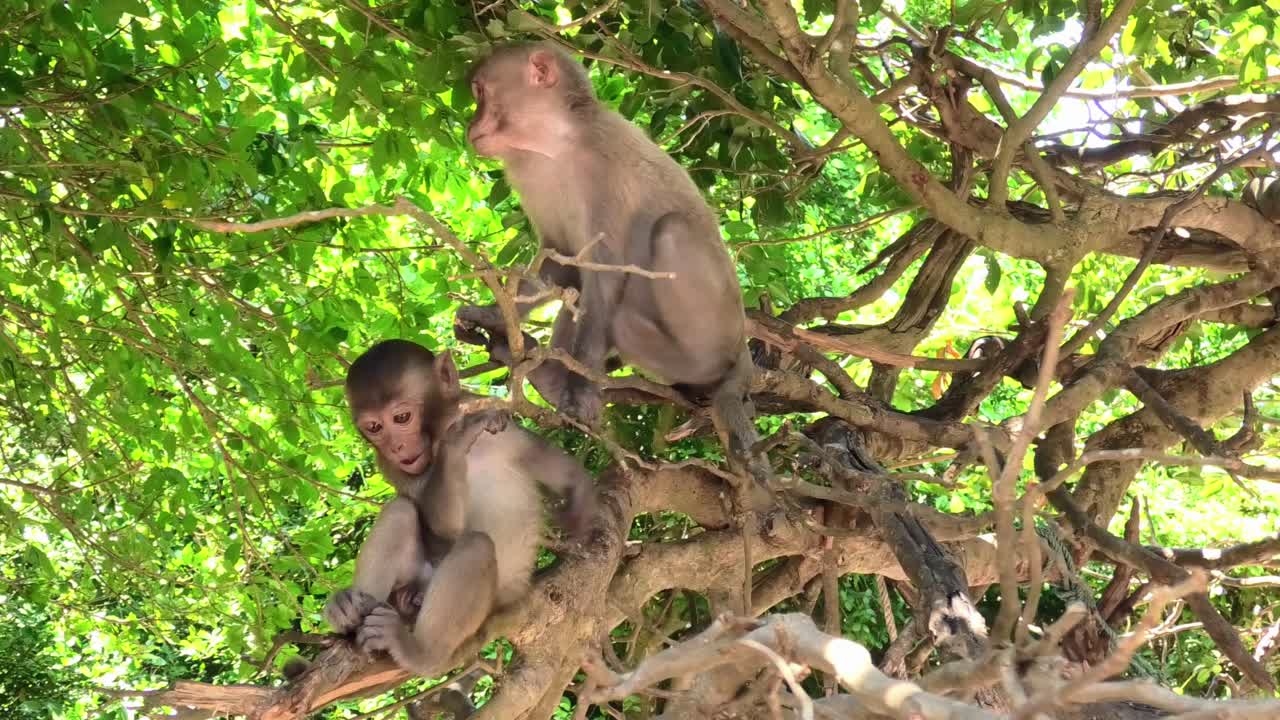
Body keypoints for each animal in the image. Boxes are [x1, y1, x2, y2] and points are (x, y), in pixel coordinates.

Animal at [321, 339, 598, 676]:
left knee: (476, 545)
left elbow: (563, 472)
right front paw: (455, 442)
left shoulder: (504, 427)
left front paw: (580, 517)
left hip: (490, 603)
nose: (396, 447)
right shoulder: (389, 465)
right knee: (401, 512)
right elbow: (443, 526)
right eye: (374, 426)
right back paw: (352, 614)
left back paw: (420, 652)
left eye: (401, 418)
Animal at [456, 41, 770, 496]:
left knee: (669, 234)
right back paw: (547, 375)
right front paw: (492, 314)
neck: (557, 145)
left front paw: (582, 390)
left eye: (481, 92)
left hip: (707, 335)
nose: (471, 123)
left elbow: (604, 272)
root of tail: (741, 346)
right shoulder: (527, 174)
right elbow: (559, 262)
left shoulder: (602, 164)